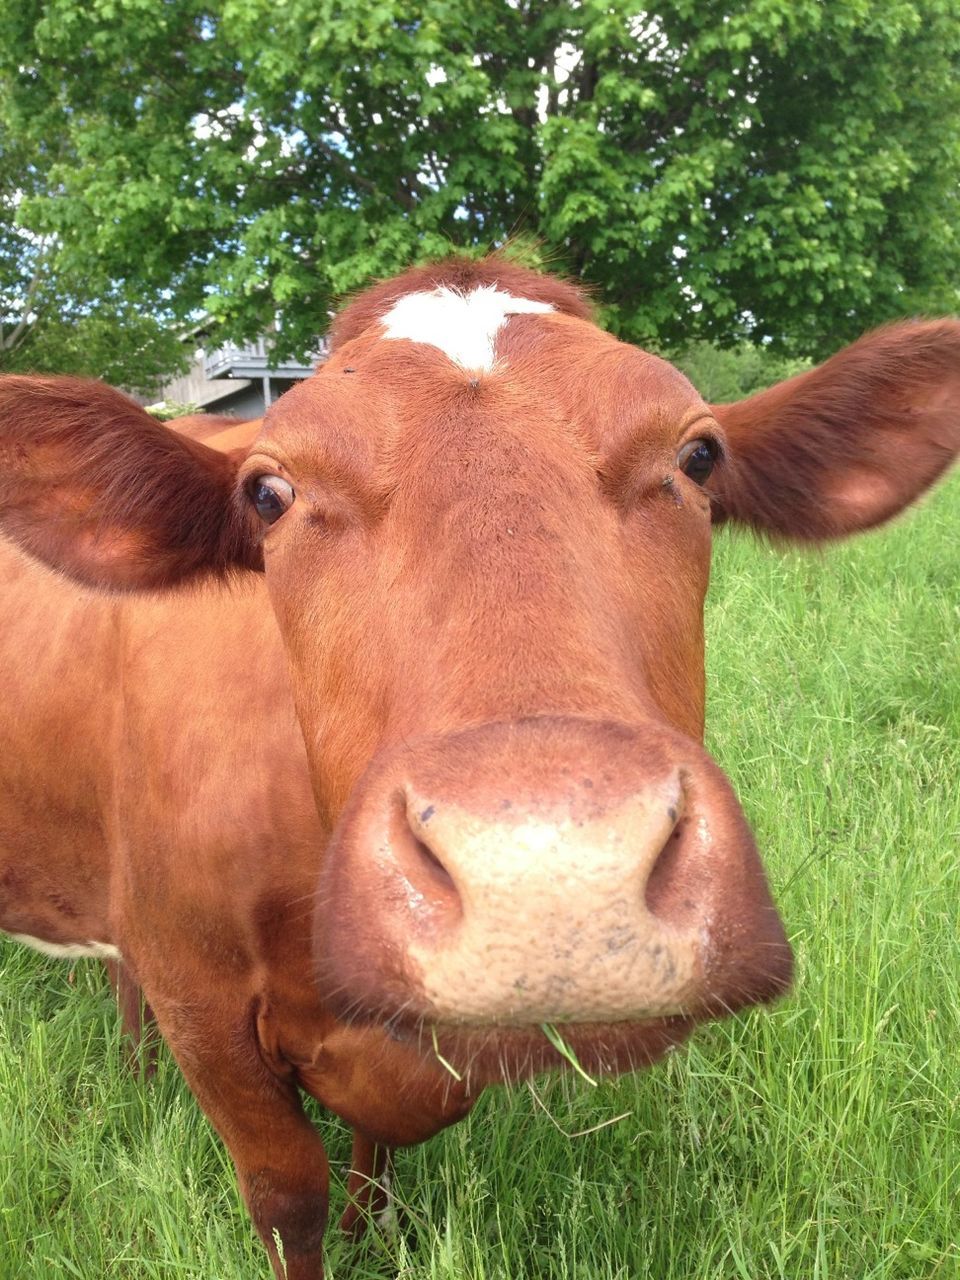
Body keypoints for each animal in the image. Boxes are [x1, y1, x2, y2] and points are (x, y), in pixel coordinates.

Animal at [0, 254, 957, 1274]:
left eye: (700, 456)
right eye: (268, 494)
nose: (547, 881)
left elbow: (375, 1160)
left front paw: (371, 1227)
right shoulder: (201, 1000)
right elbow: (287, 1195)